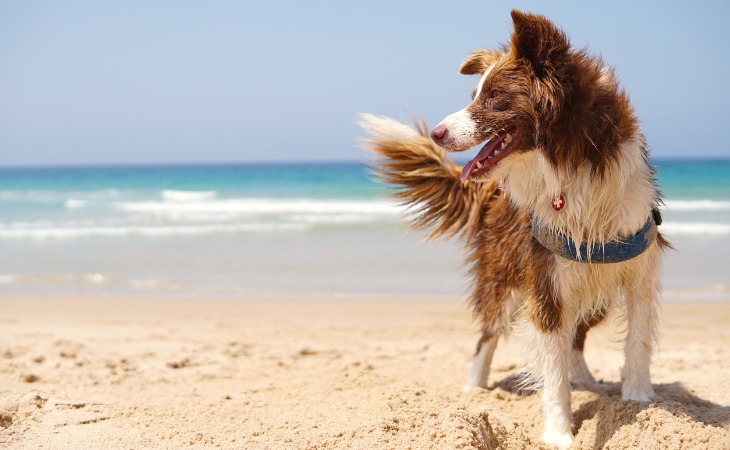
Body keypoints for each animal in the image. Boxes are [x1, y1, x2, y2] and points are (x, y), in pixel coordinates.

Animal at [358, 8, 664, 448]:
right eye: (473, 96)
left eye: (493, 98)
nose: (436, 133)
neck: (571, 160)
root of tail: (490, 191)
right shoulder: (546, 279)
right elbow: (552, 370)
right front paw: (558, 432)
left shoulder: (638, 264)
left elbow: (637, 338)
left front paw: (638, 399)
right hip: (502, 276)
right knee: (488, 334)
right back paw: (473, 387)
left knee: (575, 337)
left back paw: (587, 381)